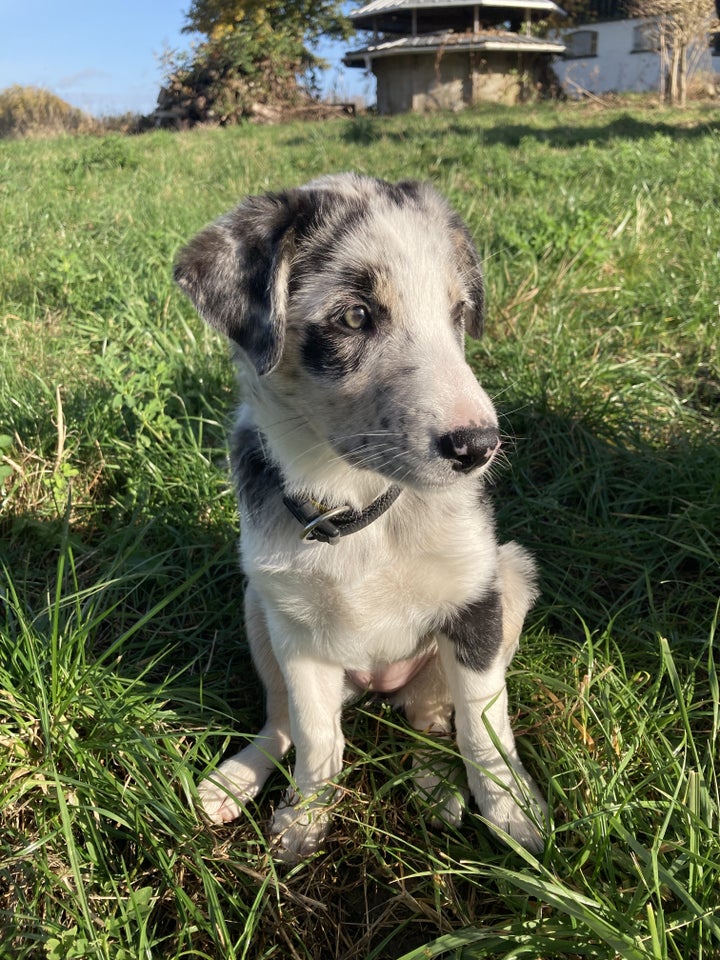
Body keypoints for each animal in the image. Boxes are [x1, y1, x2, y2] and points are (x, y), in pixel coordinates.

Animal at [174, 172, 544, 856]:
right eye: (355, 315)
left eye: (458, 315)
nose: (480, 447)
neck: (355, 504)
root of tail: (377, 686)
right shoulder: (295, 632)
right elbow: (317, 735)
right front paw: (306, 819)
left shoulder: (476, 603)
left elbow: (485, 727)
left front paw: (513, 813)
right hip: (257, 608)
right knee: (281, 721)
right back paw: (231, 783)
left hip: (513, 576)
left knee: (433, 717)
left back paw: (437, 787)